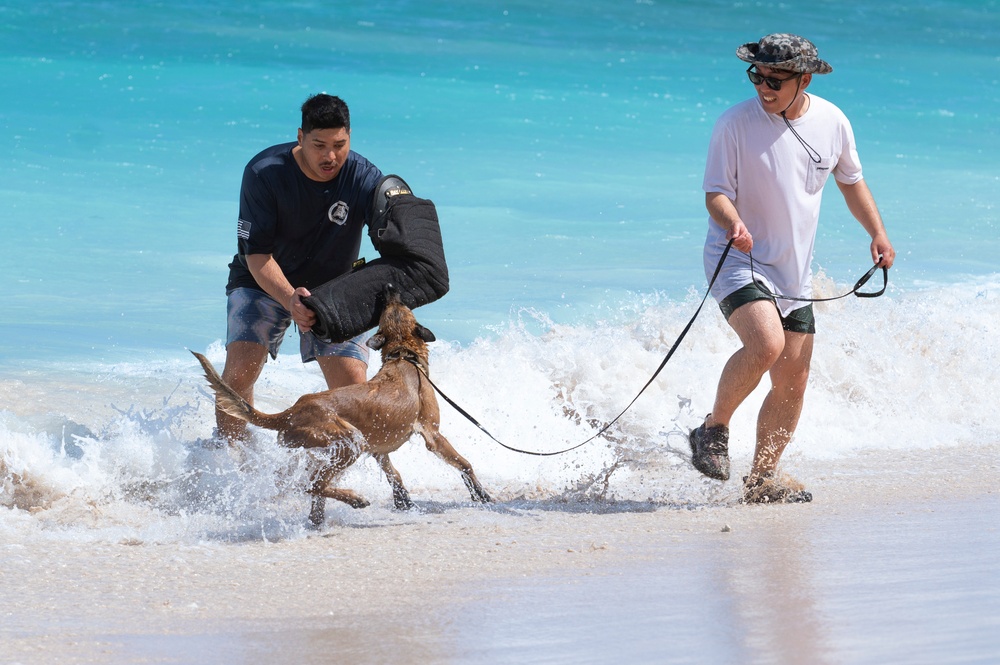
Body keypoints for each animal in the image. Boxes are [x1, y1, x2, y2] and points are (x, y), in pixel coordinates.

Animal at [190, 288, 488, 528]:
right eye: (397, 305)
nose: (390, 288)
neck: (403, 355)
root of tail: (289, 412)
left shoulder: (377, 447)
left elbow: (393, 472)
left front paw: (403, 501)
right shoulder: (432, 435)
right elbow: (465, 464)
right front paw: (481, 494)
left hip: (332, 449)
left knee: (315, 488)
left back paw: (319, 519)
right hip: (349, 441)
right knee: (313, 484)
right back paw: (354, 499)